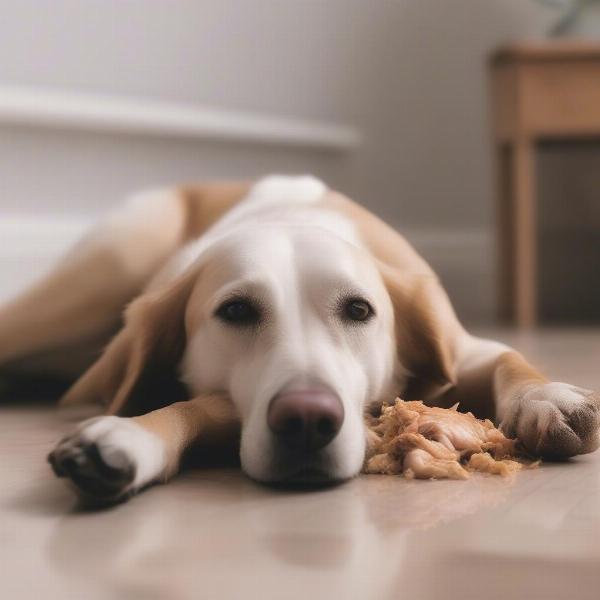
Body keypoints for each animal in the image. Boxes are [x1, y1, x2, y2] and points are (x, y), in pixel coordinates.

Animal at [0, 173, 596, 502]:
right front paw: (131, 436)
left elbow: (511, 360)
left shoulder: (463, 349)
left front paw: (548, 399)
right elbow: (186, 409)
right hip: (105, 267)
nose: (308, 419)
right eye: (236, 310)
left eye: (359, 309)